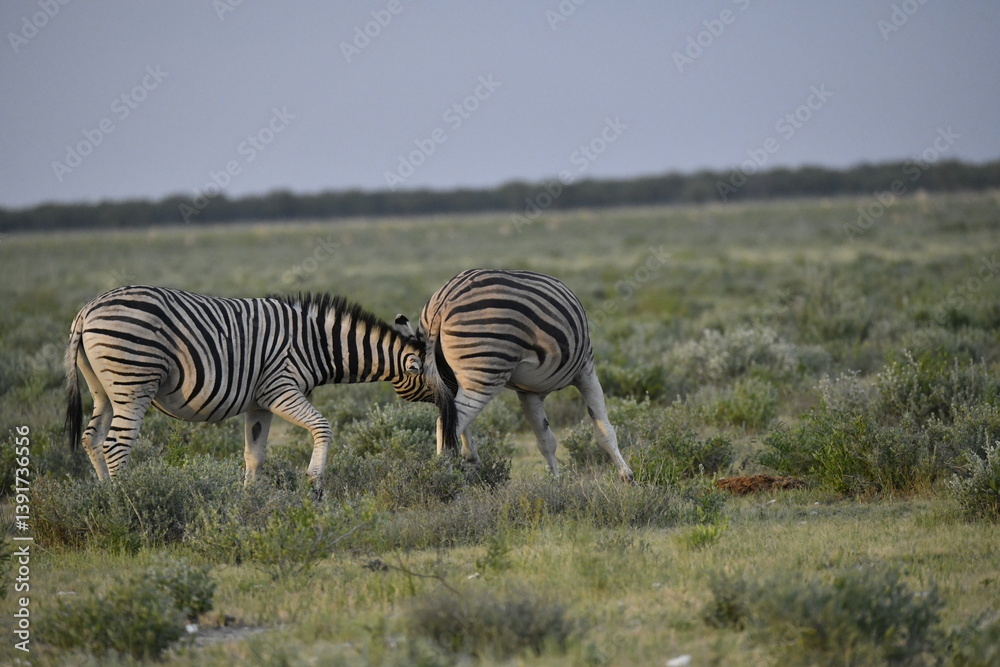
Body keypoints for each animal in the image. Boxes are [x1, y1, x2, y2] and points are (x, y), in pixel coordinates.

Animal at [64, 285, 424, 489]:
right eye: (435, 371)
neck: (316, 344)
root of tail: (86, 311)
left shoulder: (259, 403)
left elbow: (255, 456)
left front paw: (248, 502)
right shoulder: (281, 389)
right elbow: (322, 427)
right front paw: (315, 486)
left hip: (102, 390)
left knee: (91, 439)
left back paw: (106, 498)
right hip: (133, 383)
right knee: (116, 445)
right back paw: (127, 504)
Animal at [390, 269, 633, 482]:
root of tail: (442, 303)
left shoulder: (529, 393)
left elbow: (546, 441)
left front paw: (557, 482)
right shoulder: (586, 370)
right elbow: (604, 430)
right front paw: (626, 476)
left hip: (456, 376)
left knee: (450, 417)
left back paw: (468, 461)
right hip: (485, 371)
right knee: (446, 424)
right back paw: (447, 480)